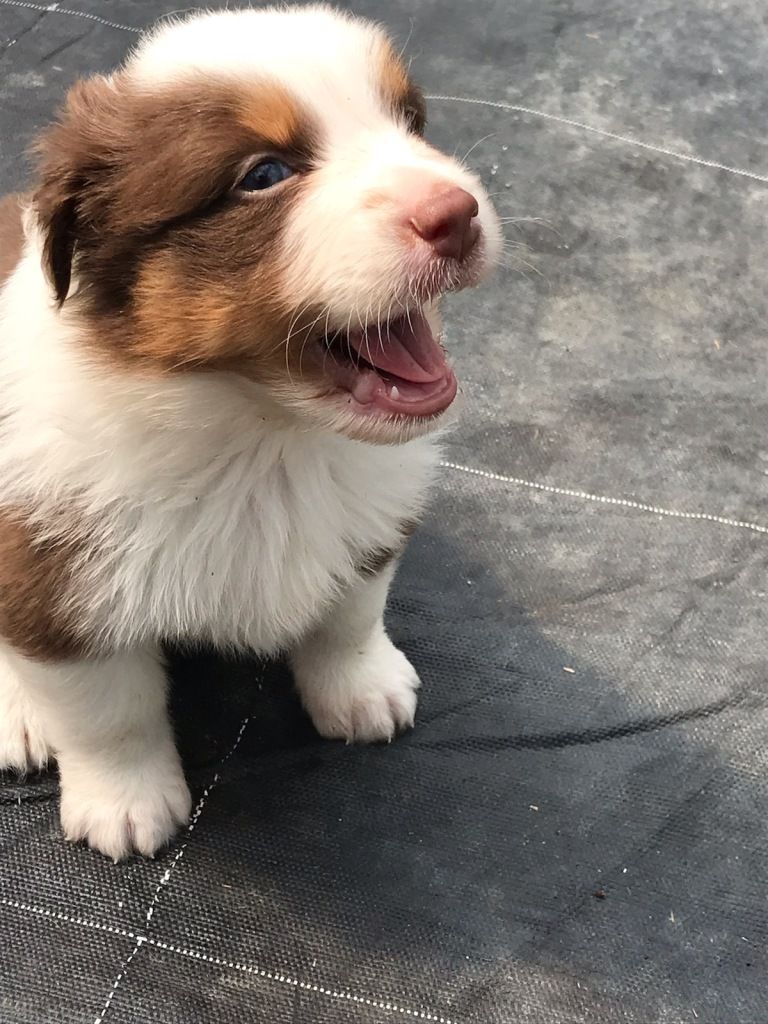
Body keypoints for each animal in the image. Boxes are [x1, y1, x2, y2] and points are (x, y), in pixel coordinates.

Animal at [0, 4, 501, 860]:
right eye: (264, 175)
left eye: (408, 121)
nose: (456, 213)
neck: (264, 435)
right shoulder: (51, 577)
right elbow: (108, 711)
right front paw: (126, 804)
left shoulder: (370, 519)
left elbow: (349, 616)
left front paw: (364, 690)